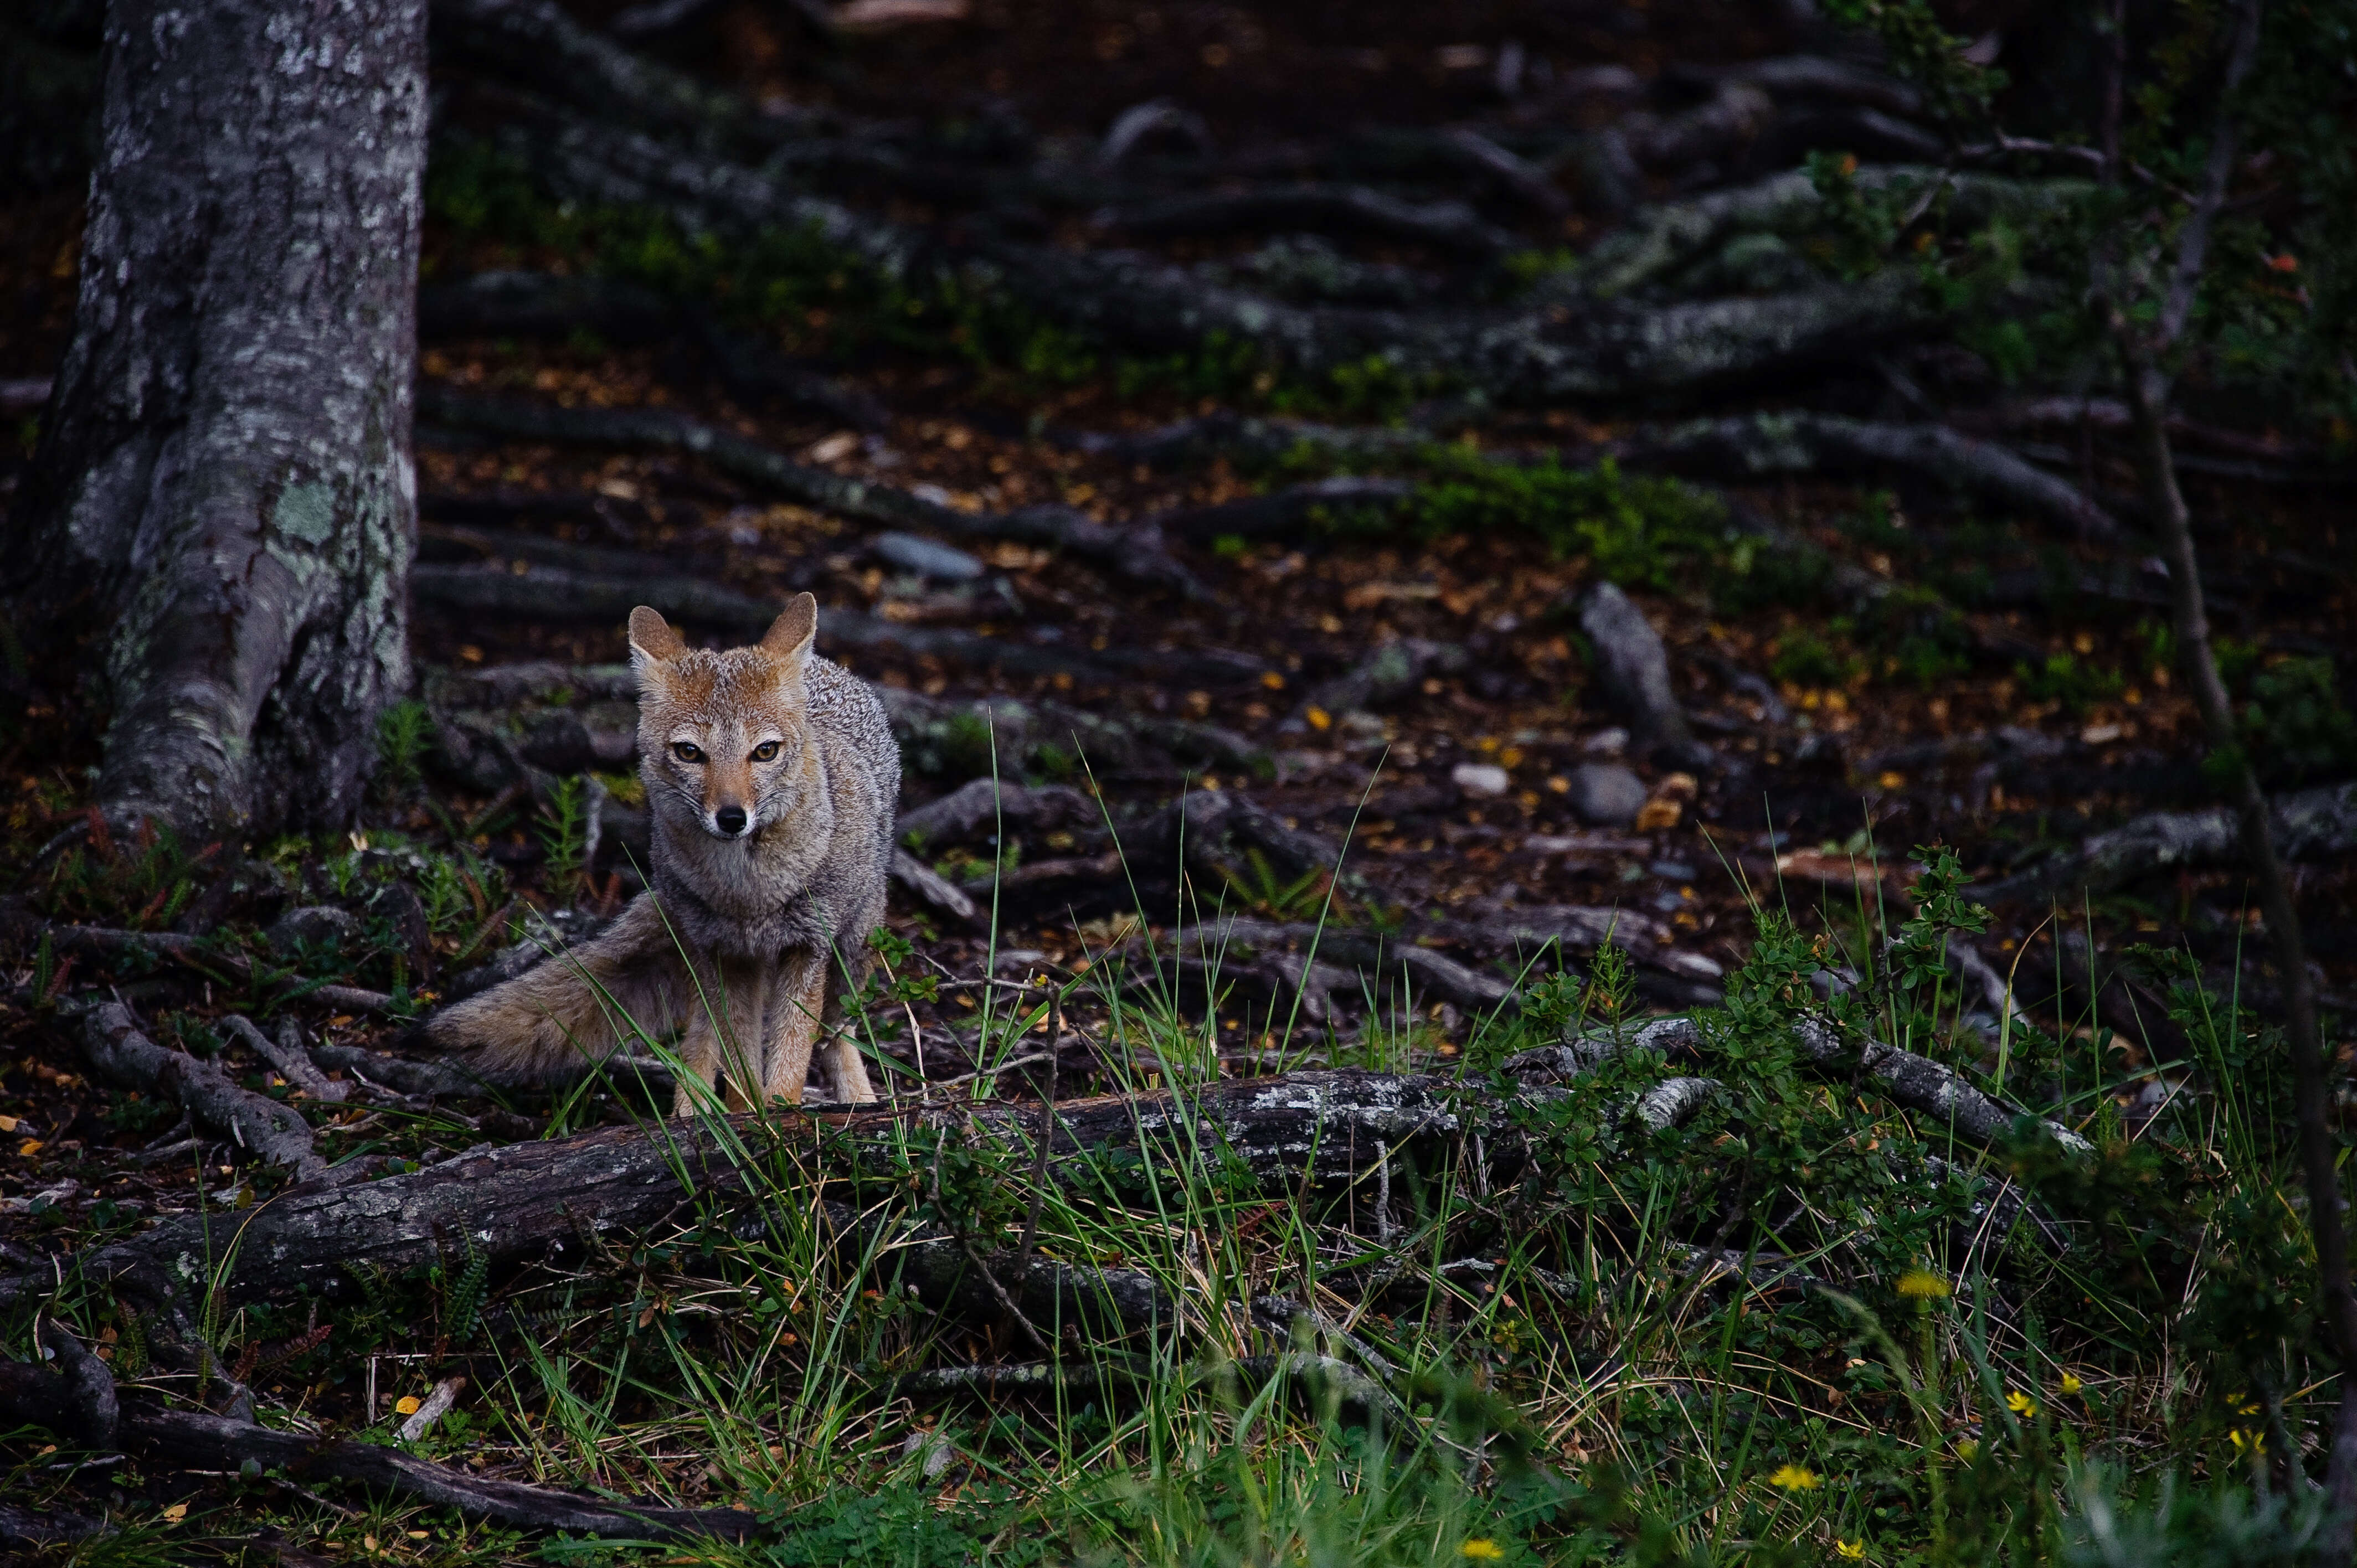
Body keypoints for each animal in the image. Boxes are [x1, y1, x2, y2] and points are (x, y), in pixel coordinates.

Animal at [419, 596, 896, 1113]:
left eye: (765, 751)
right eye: (689, 753)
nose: (732, 818)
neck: (749, 894)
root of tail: (833, 671)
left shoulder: (808, 948)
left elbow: (792, 1050)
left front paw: (780, 1112)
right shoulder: (725, 954)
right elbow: (738, 1058)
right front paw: (746, 1116)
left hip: (852, 954)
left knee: (837, 1035)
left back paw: (860, 1099)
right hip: (706, 958)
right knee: (702, 1039)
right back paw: (692, 1110)